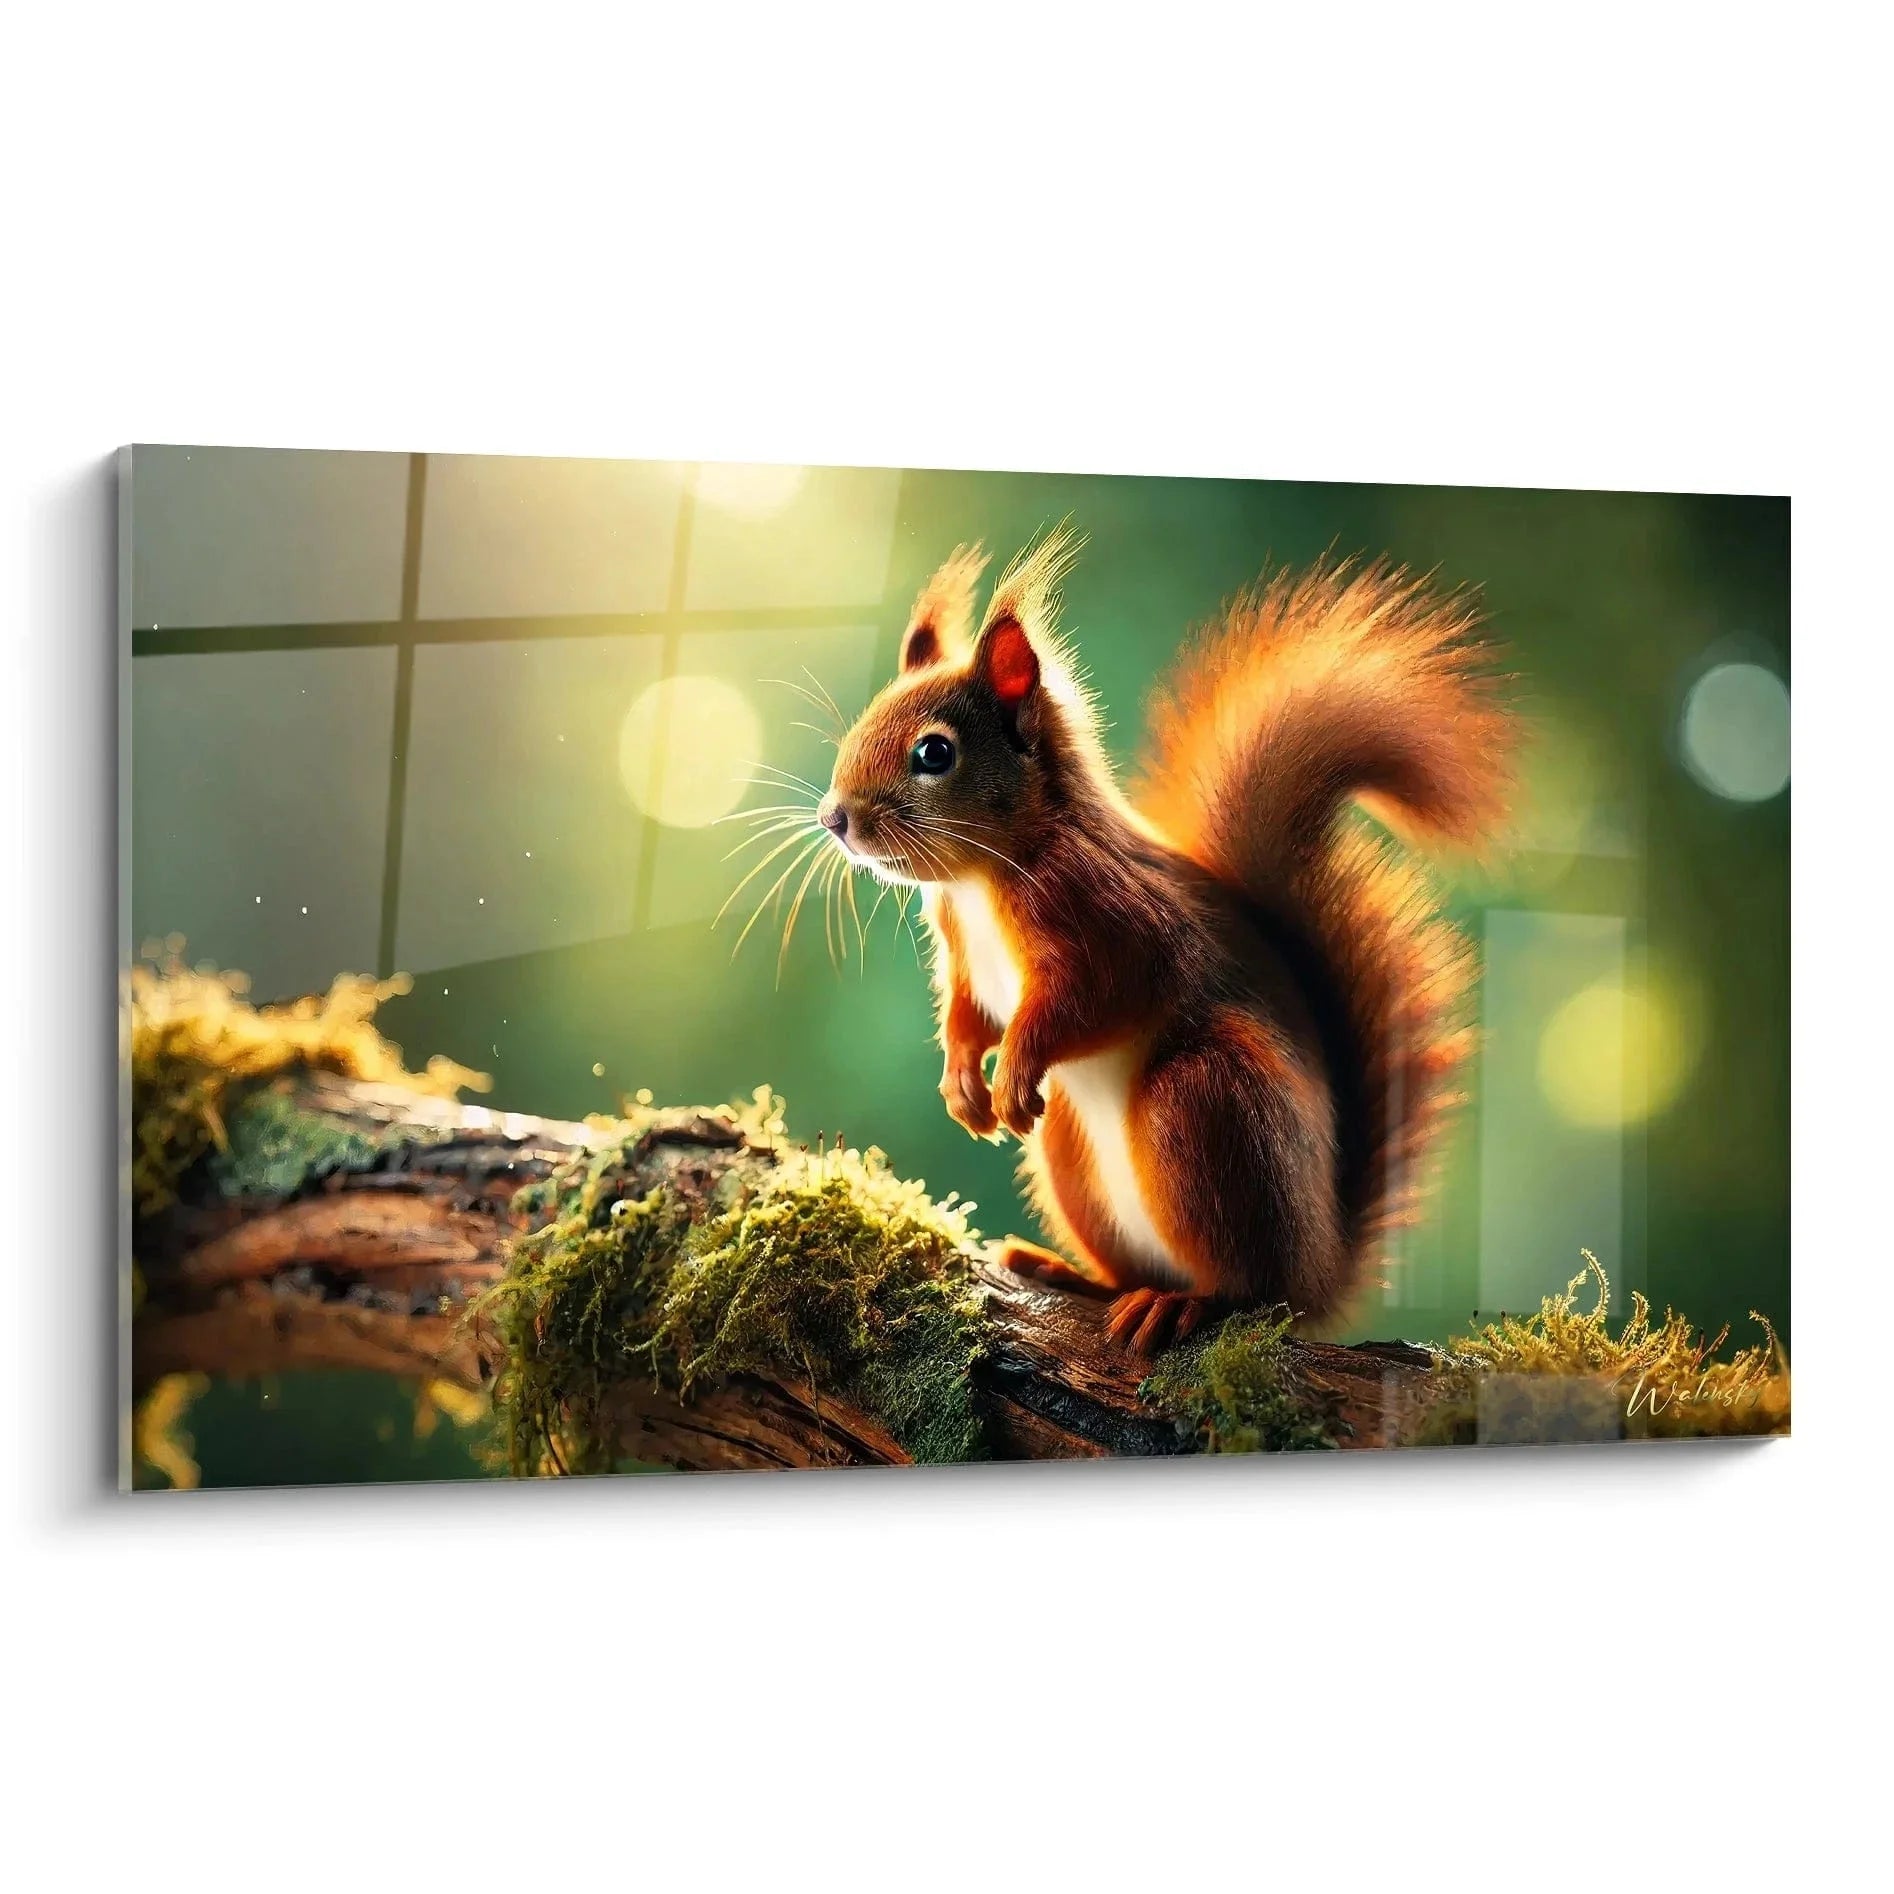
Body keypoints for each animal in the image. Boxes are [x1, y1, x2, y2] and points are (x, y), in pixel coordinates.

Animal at [816, 530, 1515, 1353]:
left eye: (934, 753)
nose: (835, 818)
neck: (983, 876)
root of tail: (1319, 1276)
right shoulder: (963, 954)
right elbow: (967, 1014)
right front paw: (963, 1086)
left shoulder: (1115, 922)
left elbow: (1093, 1000)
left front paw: (1014, 1069)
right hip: (1071, 1148)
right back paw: (1072, 1274)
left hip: (1207, 1103)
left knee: (1246, 1287)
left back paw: (1183, 1304)